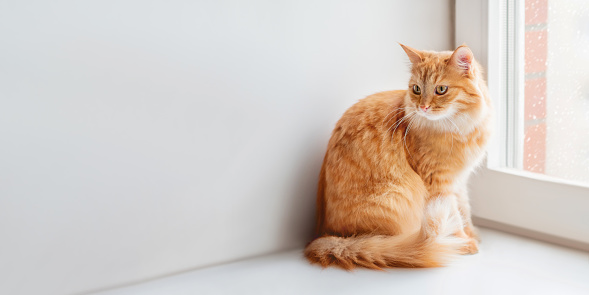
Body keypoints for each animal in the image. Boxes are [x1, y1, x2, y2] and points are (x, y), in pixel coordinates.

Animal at [304, 44, 492, 270]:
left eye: (441, 89)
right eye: (417, 89)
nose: (423, 107)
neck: (459, 129)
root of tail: (326, 236)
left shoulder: (459, 180)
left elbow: (464, 210)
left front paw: (472, 234)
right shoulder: (438, 183)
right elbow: (454, 214)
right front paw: (463, 241)